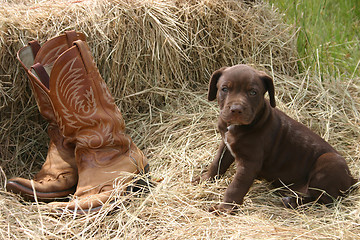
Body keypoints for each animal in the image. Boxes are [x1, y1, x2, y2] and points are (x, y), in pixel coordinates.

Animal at [197, 64, 358, 213]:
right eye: (224, 89)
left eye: (253, 92)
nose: (236, 109)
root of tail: (351, 179)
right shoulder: (226, 145)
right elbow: (217, 163)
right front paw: (204, 179)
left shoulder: (249, 163)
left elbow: (236, 186)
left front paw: (225, 208)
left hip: (329, 161)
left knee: (322, 199)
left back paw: (291, 202)